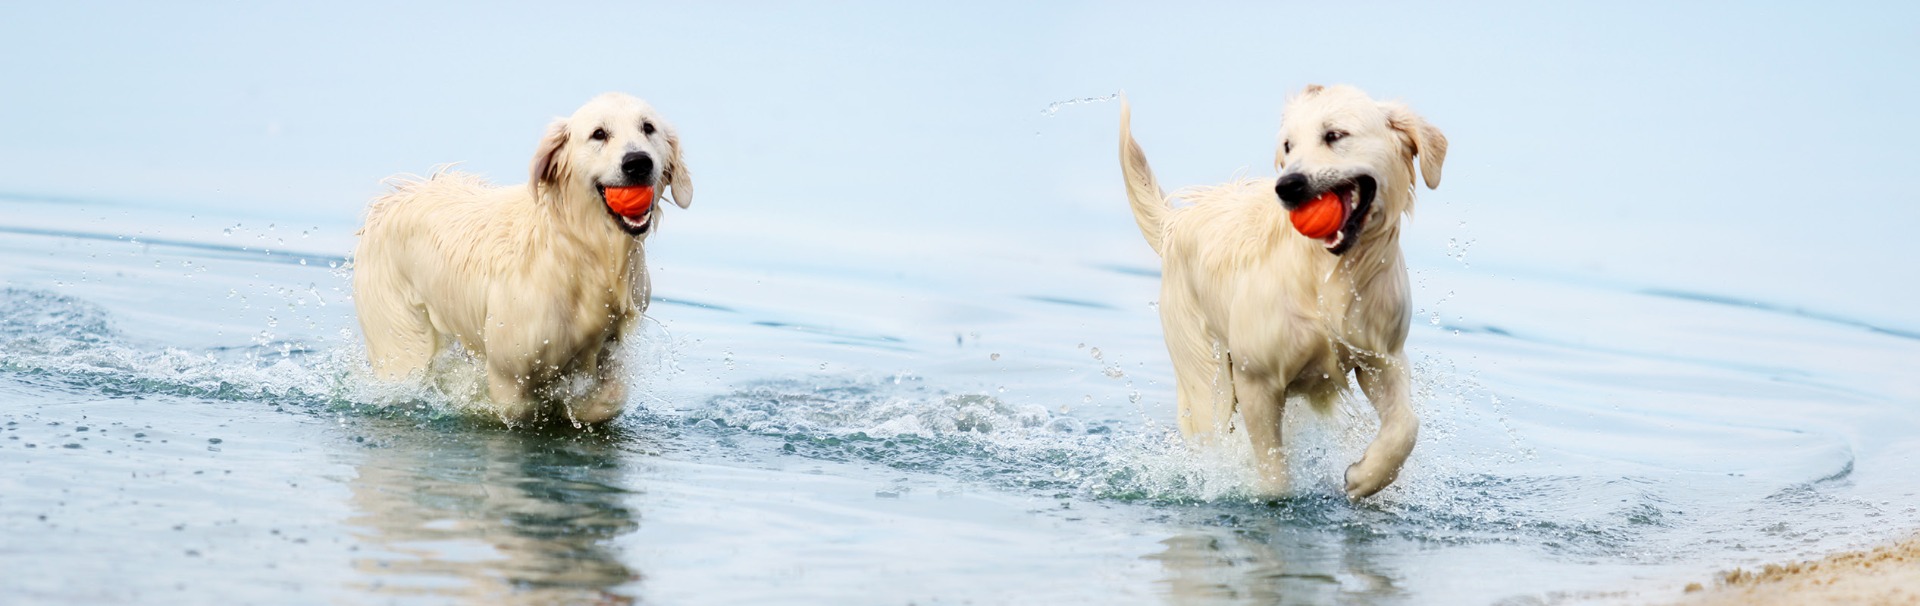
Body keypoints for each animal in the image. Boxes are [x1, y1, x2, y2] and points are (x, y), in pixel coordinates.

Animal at [357, 93, 695, 425]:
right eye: (599, 133)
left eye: (648, 128)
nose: (638, 162)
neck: (581, 252)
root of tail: (392, 198)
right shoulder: (509, 368)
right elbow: (515, 408)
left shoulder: (615, 342)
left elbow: (608, 399)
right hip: (399, 336)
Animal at [1121, 85, 1443, 498]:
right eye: (1288, 145)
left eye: (1334, 135)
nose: (1288, 186)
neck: (1327, 273)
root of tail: (1175, 221)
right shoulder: (1256, 379)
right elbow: (1273, 475)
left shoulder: (1382, 356)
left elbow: (1405, 427)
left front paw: (1363, 476)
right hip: (1205, 375)